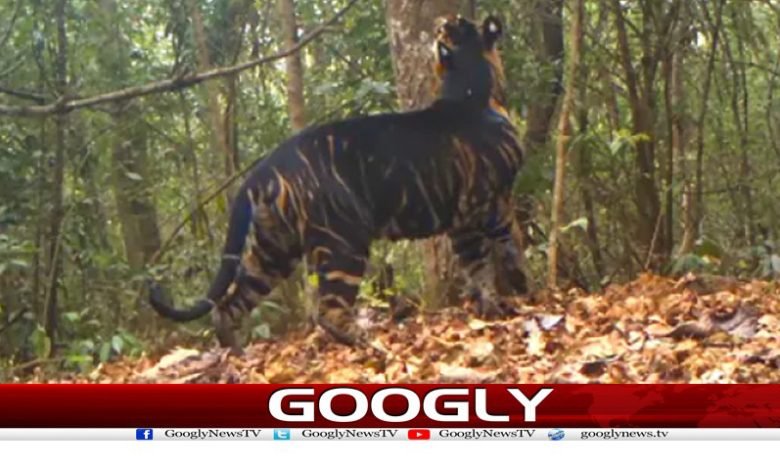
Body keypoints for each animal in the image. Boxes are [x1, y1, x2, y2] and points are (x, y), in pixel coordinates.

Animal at [149, 16, 526, 353]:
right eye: (459, 22)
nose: (440, 22)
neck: (471, 87)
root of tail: (262, 170)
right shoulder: (483, 205)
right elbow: (495, 256)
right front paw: (509, 301)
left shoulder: (473, 215)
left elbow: (488, 258)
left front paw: (501, 301)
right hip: (344, 241)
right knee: (327, 311)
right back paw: (371, 345)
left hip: (272, 249)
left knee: (230, 304)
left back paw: (238, 357)